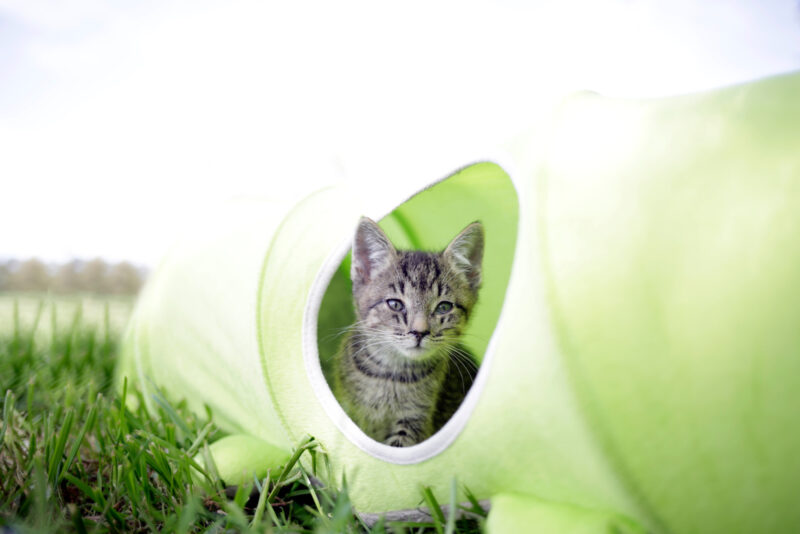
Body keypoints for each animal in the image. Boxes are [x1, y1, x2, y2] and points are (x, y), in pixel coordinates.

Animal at [332, 218, 482, 448]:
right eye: (395, 304)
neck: (391, 374)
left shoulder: (416, 420)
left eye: (444, 307)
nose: (419, 332)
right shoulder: (348, 407)